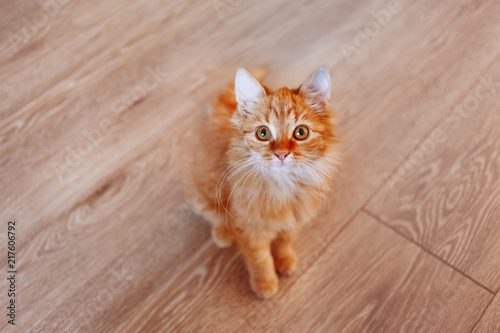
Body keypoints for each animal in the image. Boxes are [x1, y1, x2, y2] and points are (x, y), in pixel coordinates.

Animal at [188, 66, 340, 296]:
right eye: (263, 133)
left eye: (301, 132)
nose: (281, 154)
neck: (283, 186)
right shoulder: (249, 229)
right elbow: (260, 260)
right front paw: (265, 284)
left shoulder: (294, 219)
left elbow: (284, 243)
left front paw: (285, 261)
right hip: (204, 189)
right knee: (214, 216)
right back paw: (223, 234)